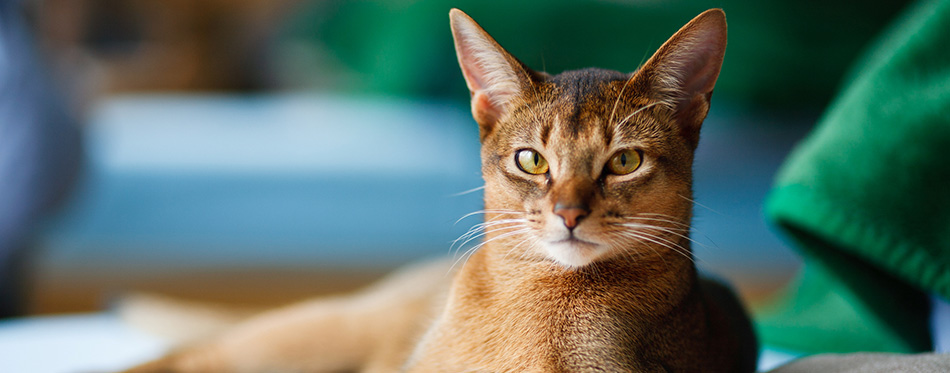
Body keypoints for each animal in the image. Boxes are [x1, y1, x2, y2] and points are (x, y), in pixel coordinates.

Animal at [124, 8, 760, 372]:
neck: (545, 303)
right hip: (321, 330)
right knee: (188, 355)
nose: (569, 213)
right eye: (531, 160)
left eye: (625, 161)